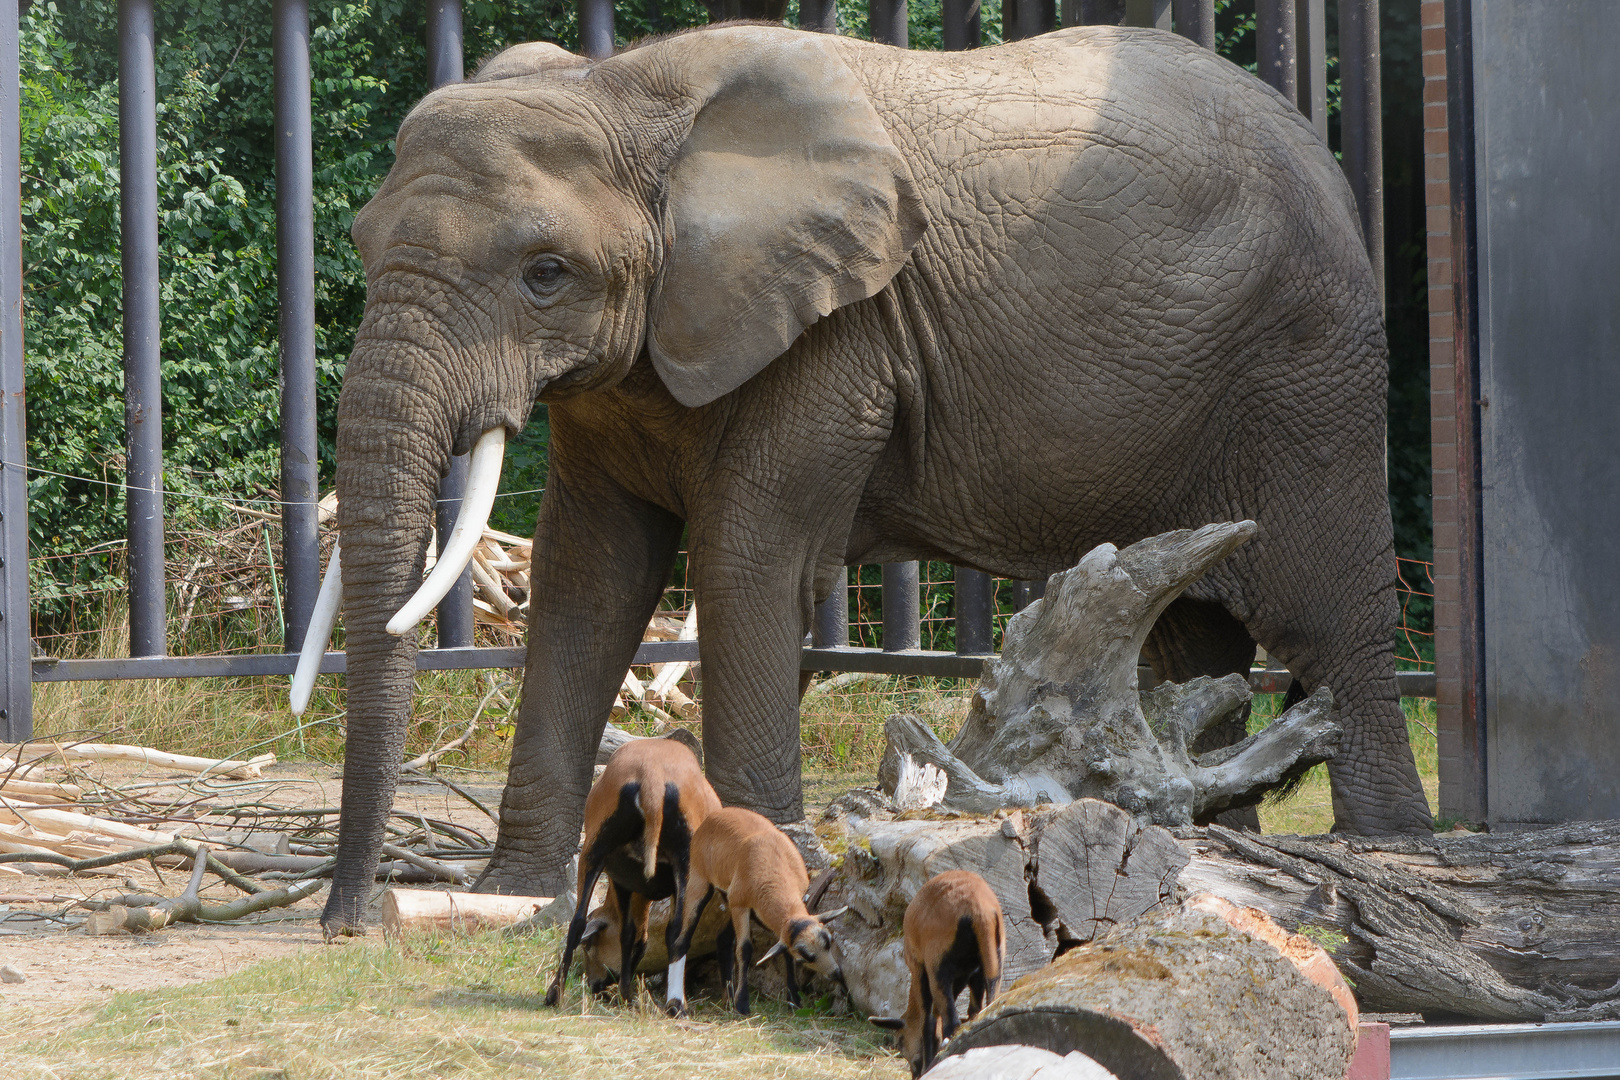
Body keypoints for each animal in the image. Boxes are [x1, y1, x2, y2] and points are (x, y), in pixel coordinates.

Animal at [304, 19, 1432, 939]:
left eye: (546, 273)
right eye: (360, 240)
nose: (351, 923)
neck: (621, 93)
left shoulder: (839, 337)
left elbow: (745, 558)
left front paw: (761, 871)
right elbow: (588, 580)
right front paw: (515, 893)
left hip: (1311, 370)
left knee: (1327, 621)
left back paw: (1388, 857)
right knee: (1195, 635)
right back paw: (1224, 848)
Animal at [541, 738, 719, 1010]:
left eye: (591, 947)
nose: (594, 985)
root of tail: (652, 777)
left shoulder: (624, 882)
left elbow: (630, 934)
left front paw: (626, 993)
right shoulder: (627, 885)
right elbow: (638, 935)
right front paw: (628, 992)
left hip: (595, 849)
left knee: (577, 922)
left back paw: (555, 993)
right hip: (686, 860)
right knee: (678, 933)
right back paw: (676, 1003)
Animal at [874, 874, 997, 1075]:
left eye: (900, 1041)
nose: (914, 1072)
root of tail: (979, 911)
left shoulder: (919, 969)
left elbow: (928, 1021)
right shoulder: (974, 974)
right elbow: (972, 1011)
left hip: (937, 965)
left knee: (950, 1023)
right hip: (993, 956)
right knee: (989, 1004)